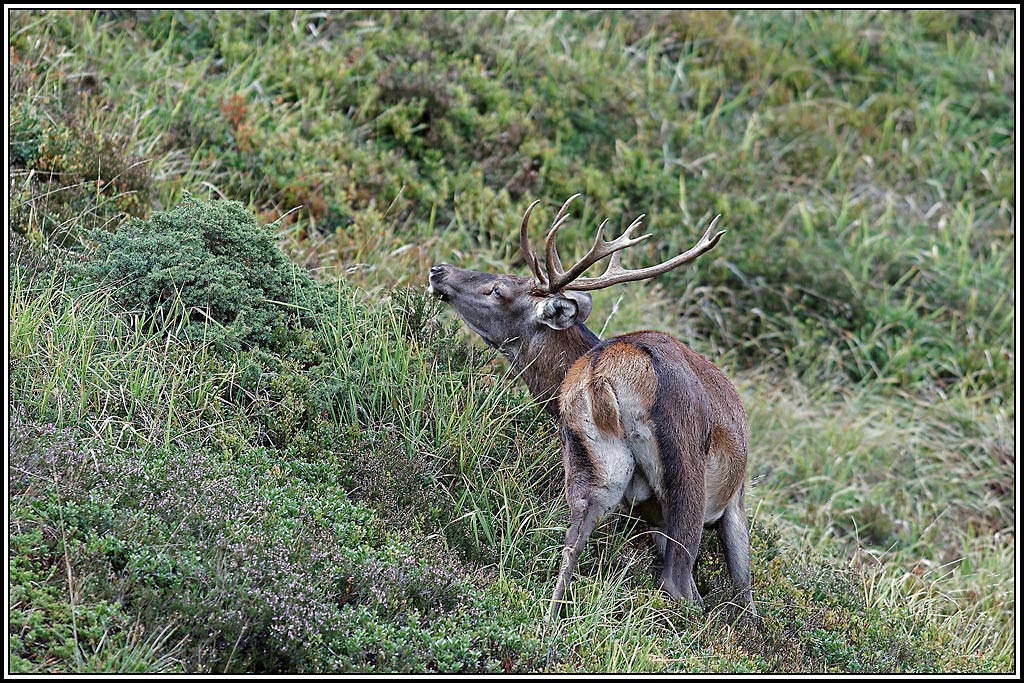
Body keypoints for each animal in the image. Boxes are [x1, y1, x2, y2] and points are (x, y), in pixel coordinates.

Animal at [428, 194, 755, 623]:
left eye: (497, 288)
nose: (438, 270)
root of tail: (603, 372)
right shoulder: (737, 498)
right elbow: (746, 591)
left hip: (593, 461)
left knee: (572, 543)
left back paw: (549, 623)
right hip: (686, 471)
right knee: (678, 584)